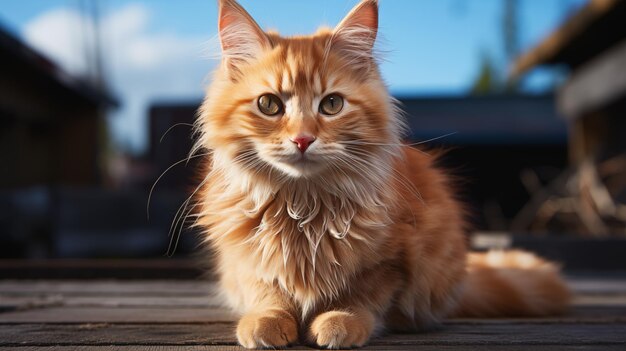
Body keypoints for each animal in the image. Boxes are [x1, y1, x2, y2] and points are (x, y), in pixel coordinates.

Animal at [193, 0, 568, 350]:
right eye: (269, 105)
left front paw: (340, 320)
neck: (303, 206)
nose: (302, 139)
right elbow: (268, 292)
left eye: (331, 105)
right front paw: (267, 320)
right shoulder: (245, 259)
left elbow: (361, 297)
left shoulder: (390, 261)